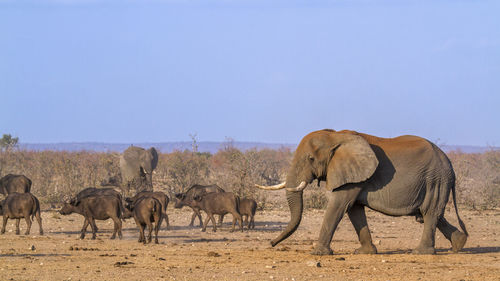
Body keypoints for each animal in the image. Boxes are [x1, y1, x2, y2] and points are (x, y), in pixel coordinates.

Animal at [258, 128, 468, 255]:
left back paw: (420, 252)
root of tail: (450, 164)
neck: (335, 136)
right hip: (435, 182)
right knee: (432, 215)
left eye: (310, 158)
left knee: (430, 213)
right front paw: (365, 253)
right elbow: (354, 210)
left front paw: (318, 253)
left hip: (435, 180)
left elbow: (338, 207)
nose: (271, 244)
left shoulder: (351, 177)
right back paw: (459, 244)